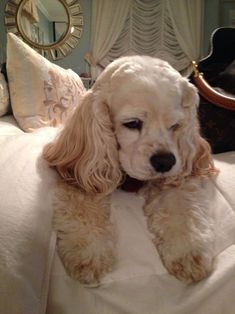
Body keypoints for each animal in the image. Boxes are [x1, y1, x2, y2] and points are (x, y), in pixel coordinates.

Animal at [42, 55, 218, 284]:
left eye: (176, 126)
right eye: (132, 123)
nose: (165, 162)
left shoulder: (178, 177)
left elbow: (181, 205)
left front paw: (188, 252)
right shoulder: (81, 174)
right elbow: (82, 208)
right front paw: (90, 254)